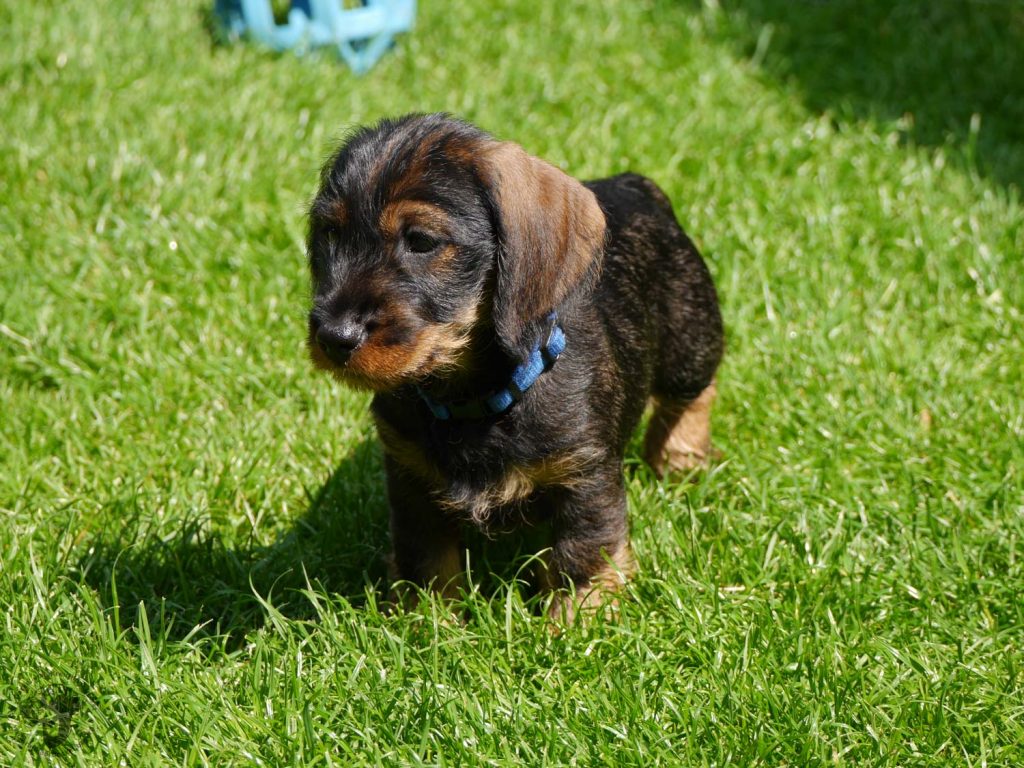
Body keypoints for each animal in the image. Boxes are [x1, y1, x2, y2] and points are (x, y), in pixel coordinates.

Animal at [307, 112, 724, 618]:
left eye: (421, 241)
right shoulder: (410, 479)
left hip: (691, 337)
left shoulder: (585, 474)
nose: (334, 336)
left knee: (693, 394)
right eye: (330, 234)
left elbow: (582, 548)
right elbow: (425, 555)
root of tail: (633, 184)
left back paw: (679, 457)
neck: (473, 401)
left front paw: (578, 616)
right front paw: (427, 618)